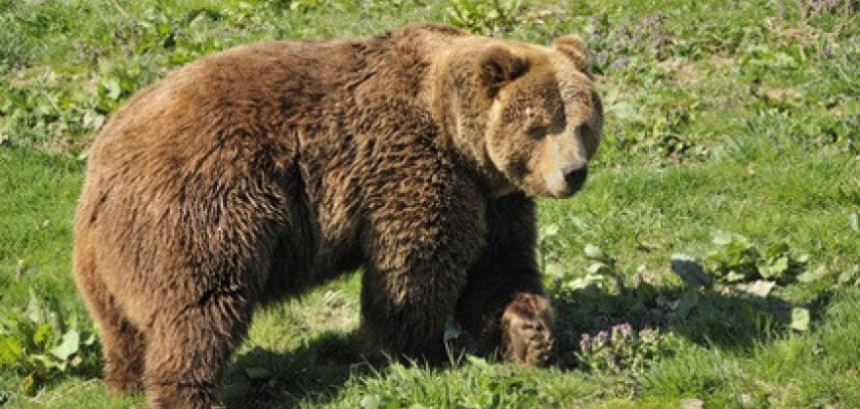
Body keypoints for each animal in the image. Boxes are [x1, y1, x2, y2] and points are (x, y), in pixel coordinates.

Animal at [74, 23, 604, 406]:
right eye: (539, 126)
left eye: (582, 123)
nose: (572, 173)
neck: (460, 140)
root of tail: (103, 160)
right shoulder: (413, 166)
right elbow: (415, 269)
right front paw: (416, 353)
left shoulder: (495, 197)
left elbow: (499, 265)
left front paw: (531, 333)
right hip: (203, 208)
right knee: (198, 308)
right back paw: (188, 393)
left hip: (106, 257)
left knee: (122, 326)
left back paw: (124, 383)